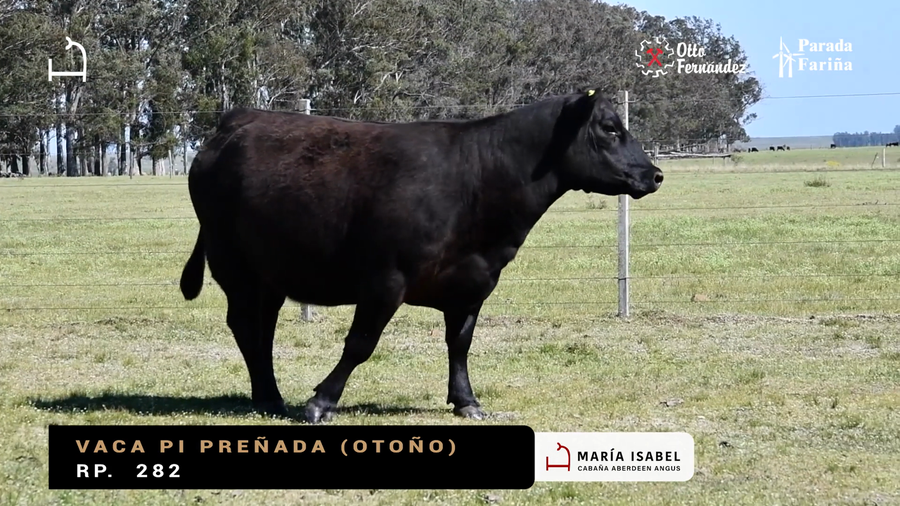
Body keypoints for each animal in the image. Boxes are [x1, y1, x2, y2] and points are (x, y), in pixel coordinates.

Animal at [178, 88, 664, 424]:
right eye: (610, 129)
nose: (655, 174)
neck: (478, 176)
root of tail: (238, 119)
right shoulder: (385, 280)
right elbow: (360, 343)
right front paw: (321, 402)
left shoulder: (474, 282)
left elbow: (460, 343)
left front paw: (466, 401)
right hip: (234, 265)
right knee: (246, 326)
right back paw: (270, 395)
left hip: (271, 273)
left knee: (263, 329)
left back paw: (268, 394)